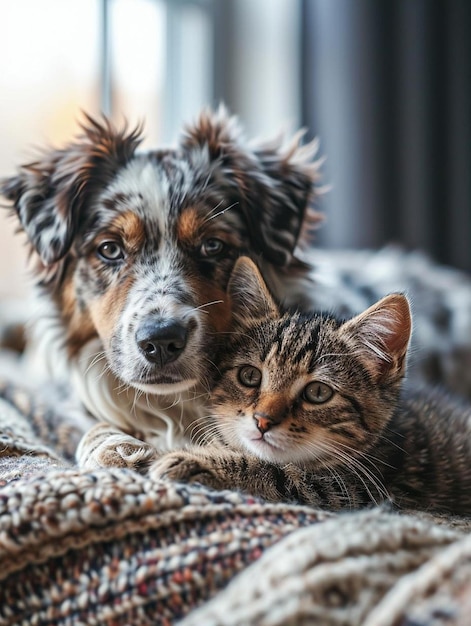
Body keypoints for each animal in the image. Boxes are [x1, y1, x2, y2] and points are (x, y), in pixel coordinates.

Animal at [150, 256, 471, 516]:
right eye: (249, 376)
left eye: (318, 393)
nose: (262, 420)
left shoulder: (358, 489)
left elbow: (277, 473)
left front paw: (191, 460)